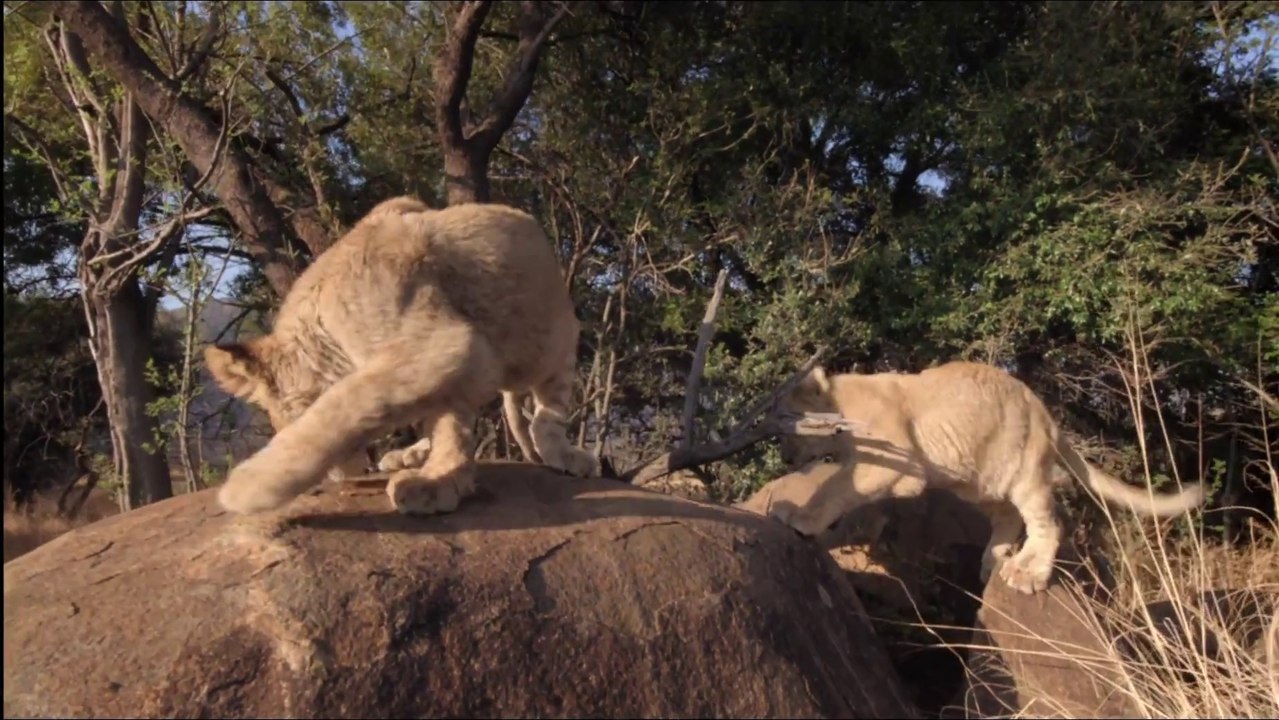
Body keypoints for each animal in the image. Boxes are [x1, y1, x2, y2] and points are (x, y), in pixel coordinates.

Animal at [204, 197, 600, 517]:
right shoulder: (454, 357)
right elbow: (447, 421)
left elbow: (342, 407)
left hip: (554, 346)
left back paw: (565, 454)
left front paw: (250, 486)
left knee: (547, 414)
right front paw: (440, 478)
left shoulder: (441, 342)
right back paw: (408, 454)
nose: (336, 476)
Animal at [734, 361, 1205, 594]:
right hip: (979, 481)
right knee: (1009, 518)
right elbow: (840, 485)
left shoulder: (897, 462)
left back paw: (1026, 573)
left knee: (1049, 523)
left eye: (787, 425)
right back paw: (992, 560)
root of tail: (1048, 416)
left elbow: (834, 488)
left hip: (1025, 471)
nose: (784, 456)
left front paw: (798, 516)